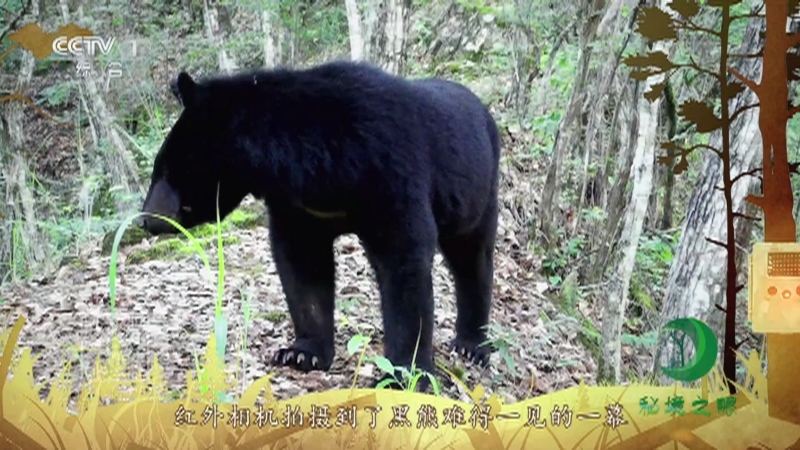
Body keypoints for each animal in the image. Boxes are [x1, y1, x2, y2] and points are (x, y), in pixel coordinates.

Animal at [139, 60, 501, 388]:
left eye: (167, 169)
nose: (146, 219)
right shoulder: (301, 209)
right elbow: (304, 267)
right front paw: (301, 353)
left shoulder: (390, 170)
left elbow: (404, 265)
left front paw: (403, 375)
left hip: (479, 191)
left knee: (473, 260)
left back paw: (472, 346)